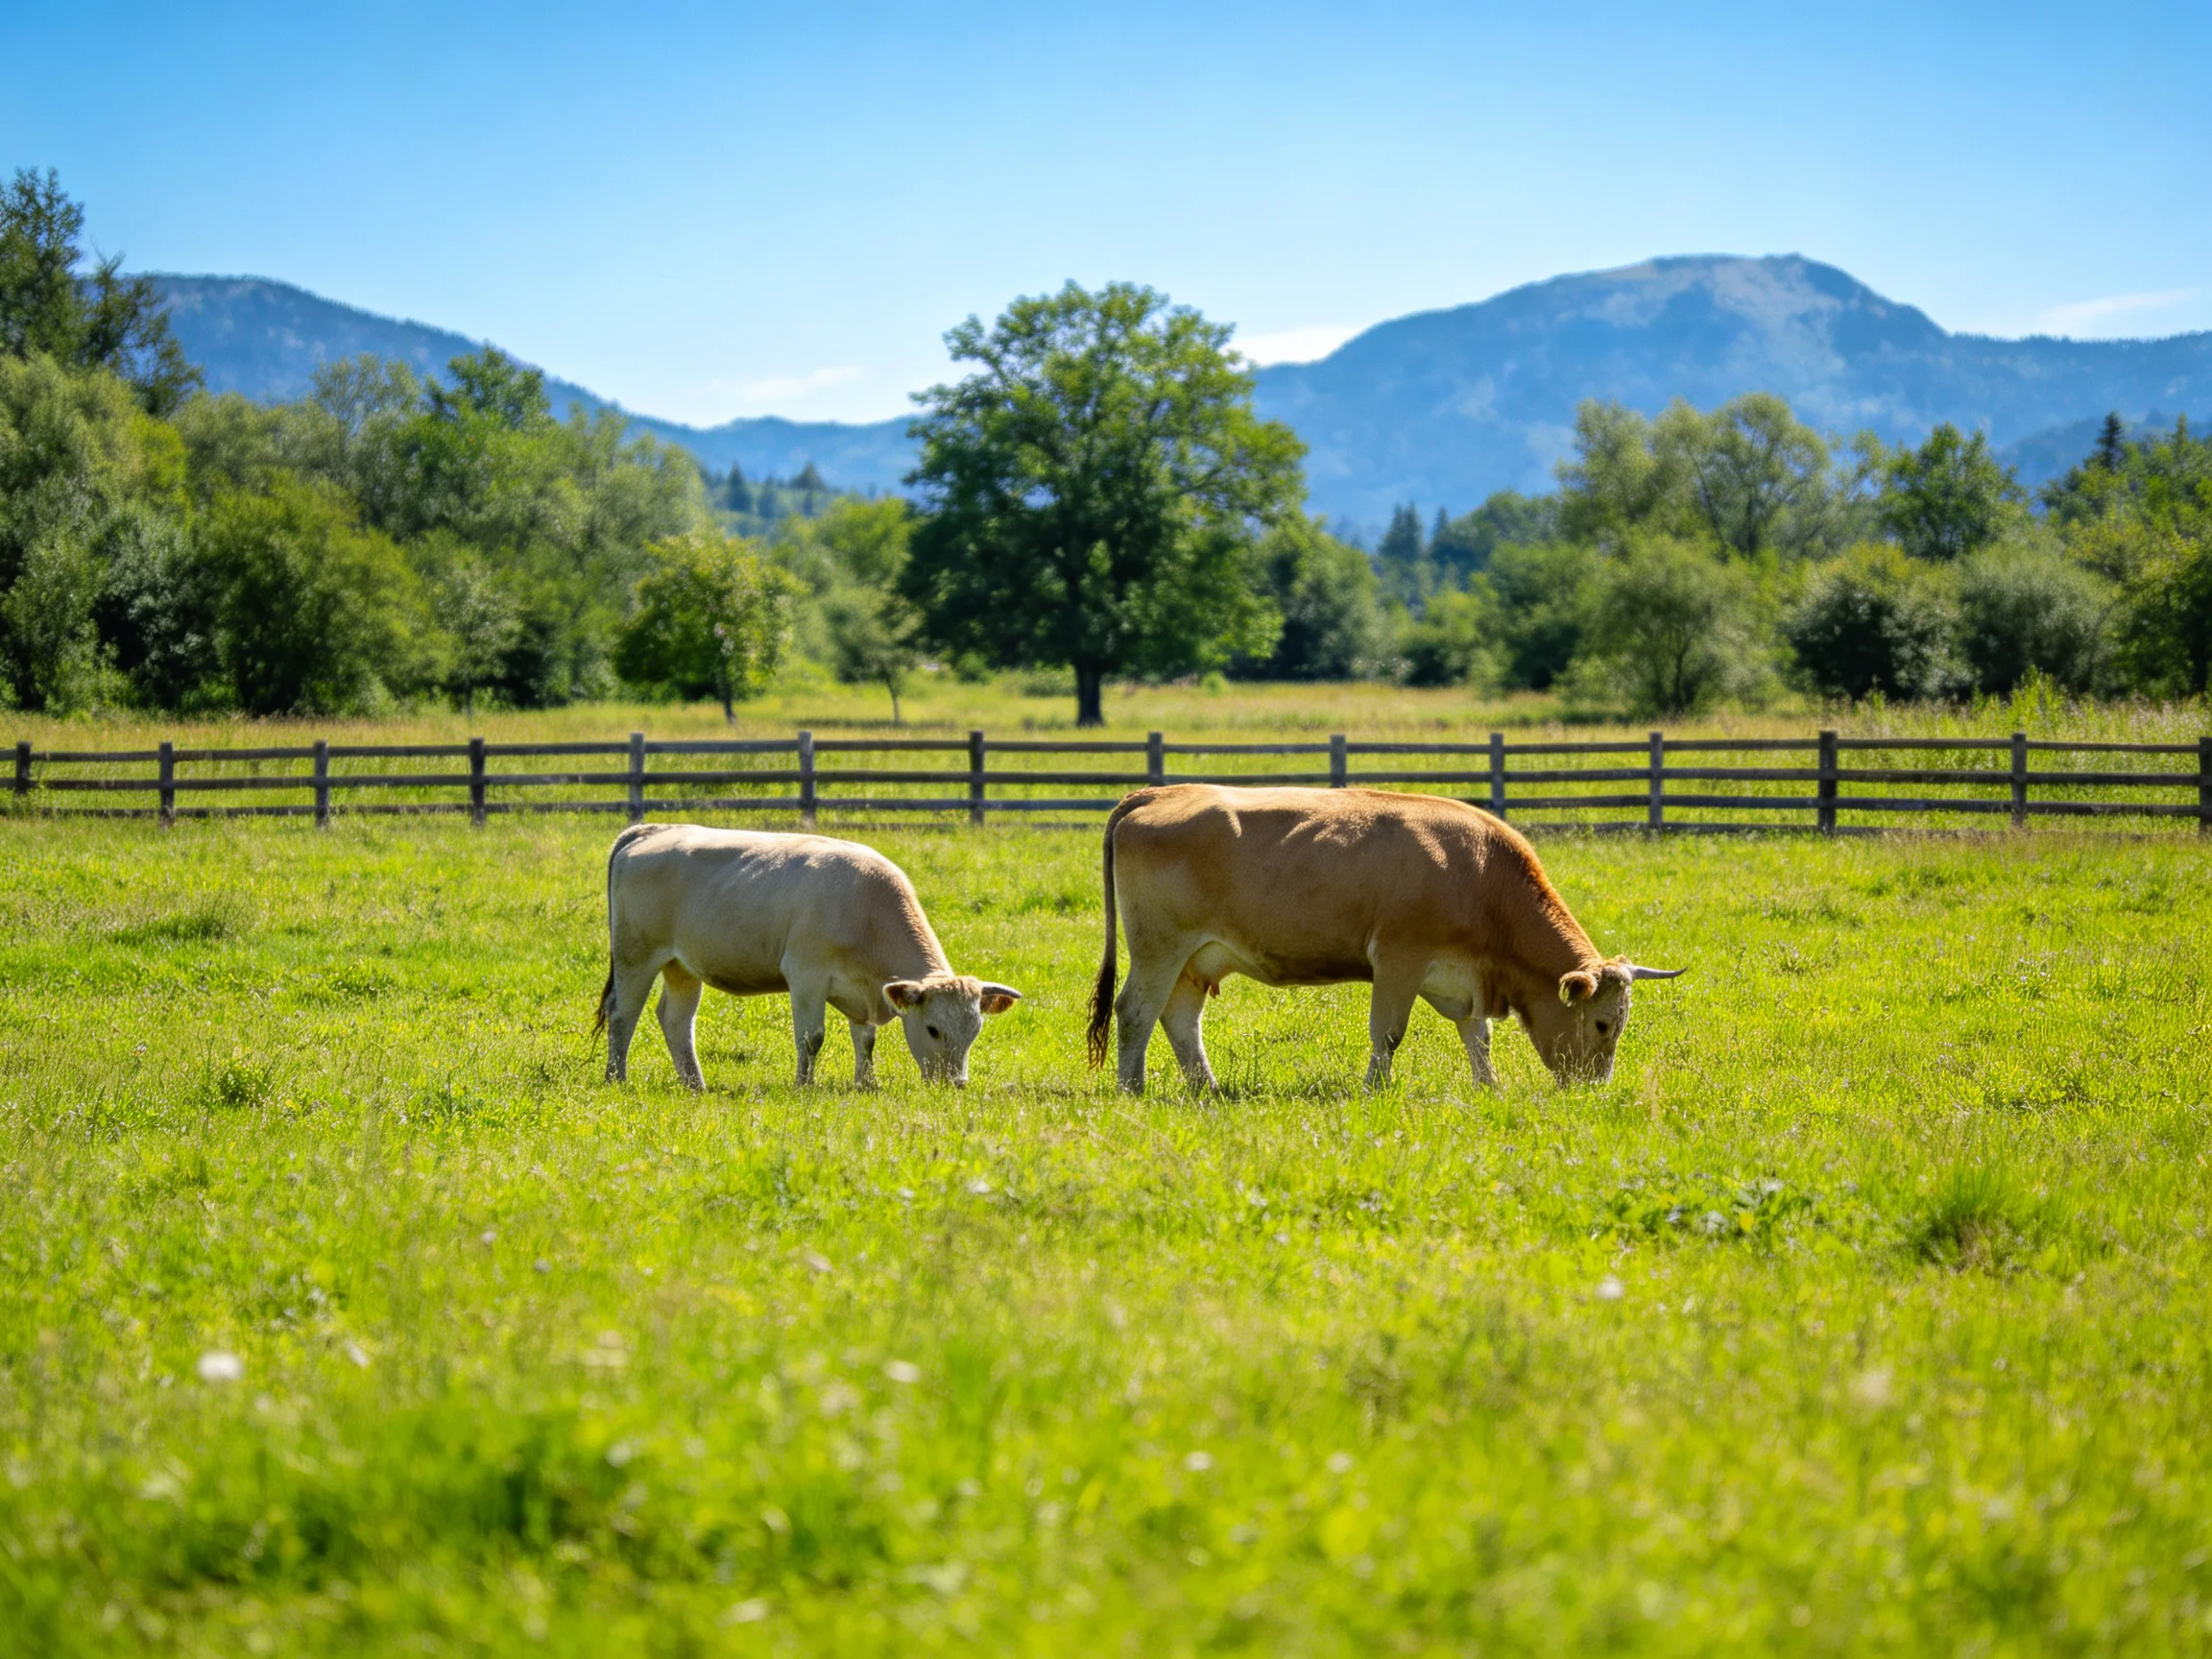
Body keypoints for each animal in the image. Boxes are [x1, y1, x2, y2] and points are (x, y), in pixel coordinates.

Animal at [594, 823, 1021, 1090]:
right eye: (933, 1029)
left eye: (975, 1031)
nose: (956, 1084)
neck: (866, 910)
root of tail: (652, 830)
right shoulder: (805, 976)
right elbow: (811, 1038)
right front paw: (804, 1084)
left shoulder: (863, 991)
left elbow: (865, 1039)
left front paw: (865, 1084)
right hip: (636, 955)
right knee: (623, 1014)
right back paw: (617, 1078)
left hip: (682, 965)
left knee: (676, 1019)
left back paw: (694, 1084)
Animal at [1085, 785, 1682, 1093]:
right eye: (1602, 1024)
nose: (1594, 1091)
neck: (1481, 877)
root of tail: (1159, 792)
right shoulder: (1399, 959)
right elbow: (1389, 1034)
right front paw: (1376, 1091)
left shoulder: (1459, 978)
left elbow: (1479, 1036)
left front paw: (1489, 1089)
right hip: (1159, 948)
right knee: (1135, 1010)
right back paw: (1132, 1089)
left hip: (1196, 959)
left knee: (1180, 1019)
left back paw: (1207, 1090)